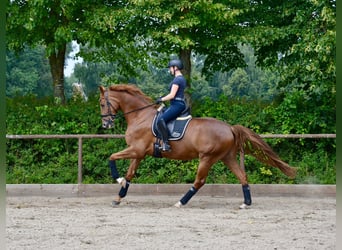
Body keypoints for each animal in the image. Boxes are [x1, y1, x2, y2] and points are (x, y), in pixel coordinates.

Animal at [97, 85, 296, 208]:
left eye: (102, 103)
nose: (106, 125)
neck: (141, 116)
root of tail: (229, 127)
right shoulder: (139, 153)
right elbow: (130, 174)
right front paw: (118, 197)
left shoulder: (136, 150)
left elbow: (111, 157)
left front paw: (117, 179)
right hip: (227, 157)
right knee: (242, 176)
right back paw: (246, 203)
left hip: (207, 158)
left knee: (199, 181)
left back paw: (180, 202)